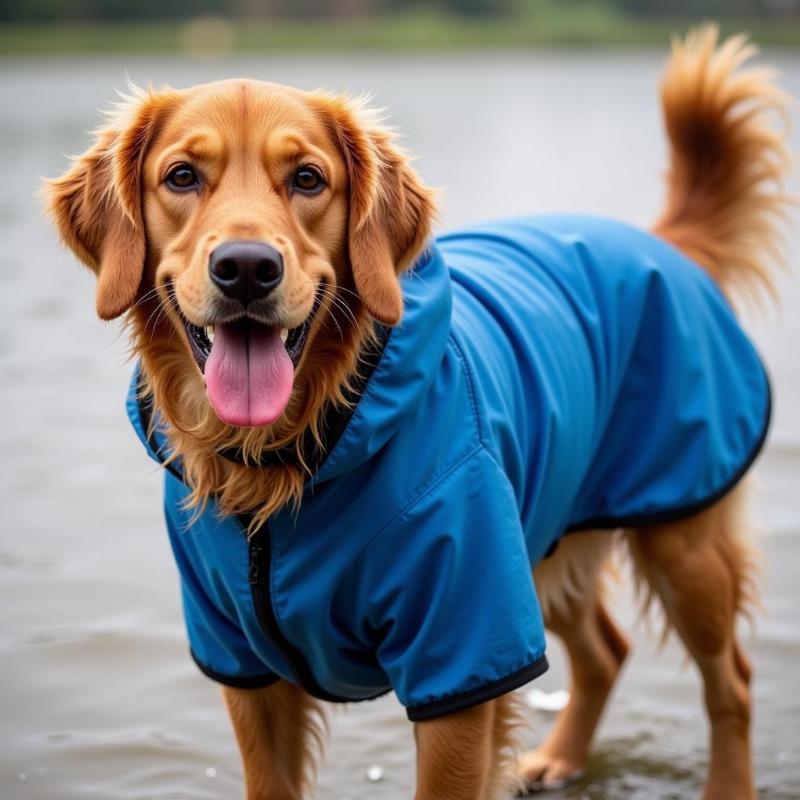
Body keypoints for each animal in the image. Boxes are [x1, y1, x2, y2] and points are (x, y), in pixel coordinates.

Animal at [47, 25, 792, 800]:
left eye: (308, 179)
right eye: (182, 177)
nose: (247, 268)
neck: (294, 455)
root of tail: (665, 241)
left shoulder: (465, 653)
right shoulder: (245, 664)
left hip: (682, 544)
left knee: (732, 682)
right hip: (542, 536)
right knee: (606, 652)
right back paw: (560, 757)